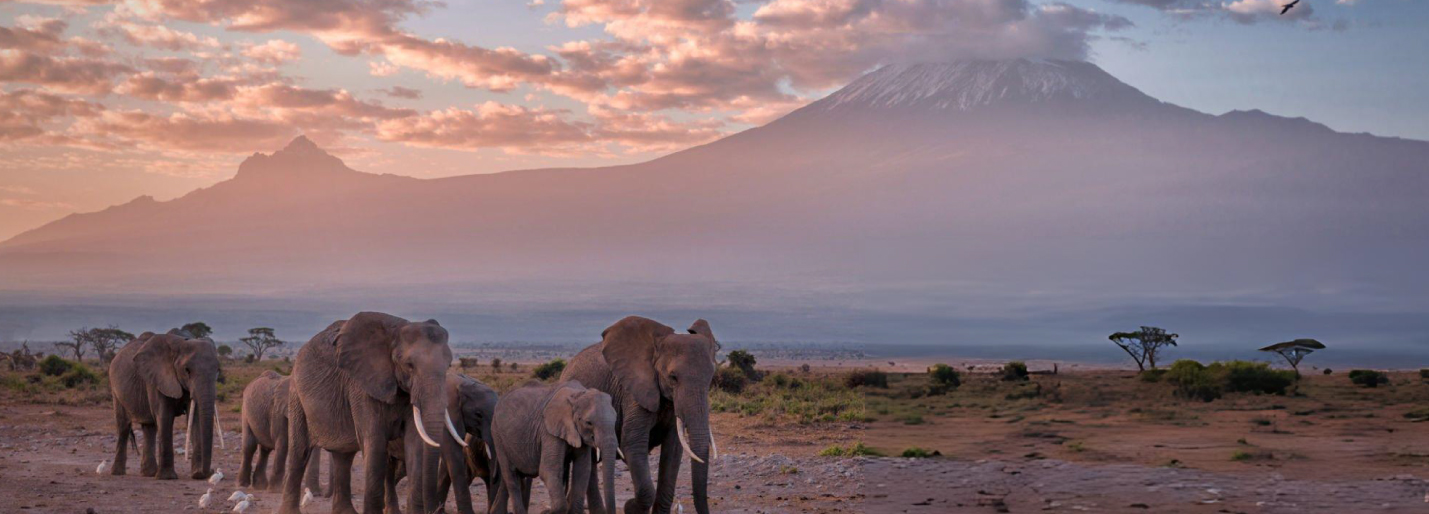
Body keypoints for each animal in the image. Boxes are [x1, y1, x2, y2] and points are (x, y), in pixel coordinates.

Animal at [108, 331, 221, 480]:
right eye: (187, 370)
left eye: (218, 370)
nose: (209, 472)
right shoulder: (157, 378)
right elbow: (165, 417)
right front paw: (167, 477)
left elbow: (195, 418)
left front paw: (197, 475)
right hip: (116, 389)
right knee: (123, 427)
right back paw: (118, 473)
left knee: (149, 428)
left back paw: (149, 474)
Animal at [277, 312, 464, 514]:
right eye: (409, 365)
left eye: (449, 365)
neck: (396, 331)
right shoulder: (362, 386)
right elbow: (374, 440)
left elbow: (414, 442)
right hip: (296, 395)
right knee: (300, 451)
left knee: (344, 457)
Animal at [491, 380, 618, 514]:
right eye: (588, 423)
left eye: (615, 420)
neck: (577, 394)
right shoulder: (548, 430)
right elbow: (548, 469)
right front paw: (548, 512)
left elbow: (582, 470)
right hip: (497, 435)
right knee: (511, 477)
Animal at [561, 317, 719, 514]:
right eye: (673, 377)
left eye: (711, 377)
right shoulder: (633, 392)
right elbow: (633, 443)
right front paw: (629, 506)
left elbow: (673, 449)